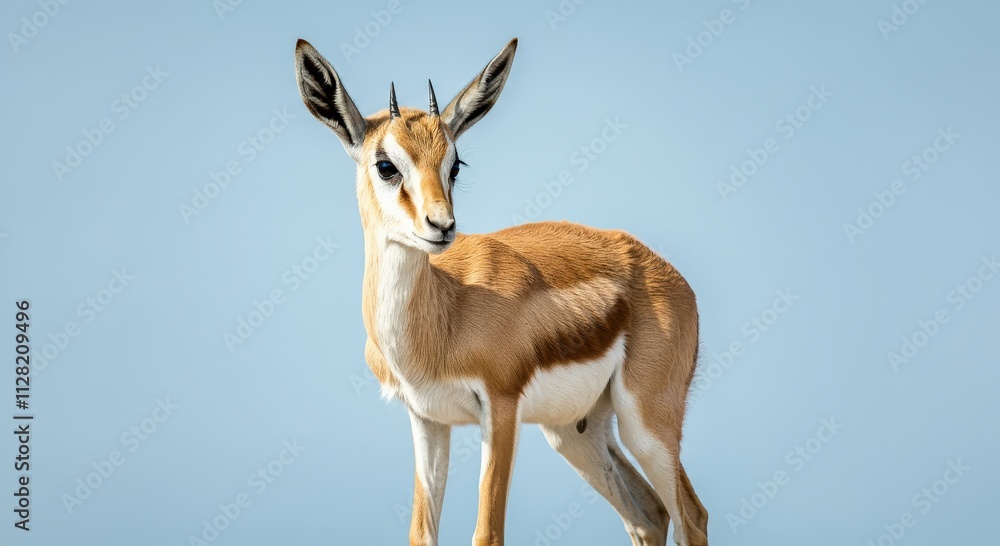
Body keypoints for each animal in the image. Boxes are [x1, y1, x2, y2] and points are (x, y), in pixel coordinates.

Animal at [293, 37, 709, 546]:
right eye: (386, 165)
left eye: (455, 164)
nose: (442, 226)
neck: (444, 314)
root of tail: (670, 275)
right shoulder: (427, 419)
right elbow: (422, 532)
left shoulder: (502, 409)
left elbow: (487, 532)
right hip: (574, 431)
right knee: (649, 513)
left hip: (646, 426)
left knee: (691, 515)